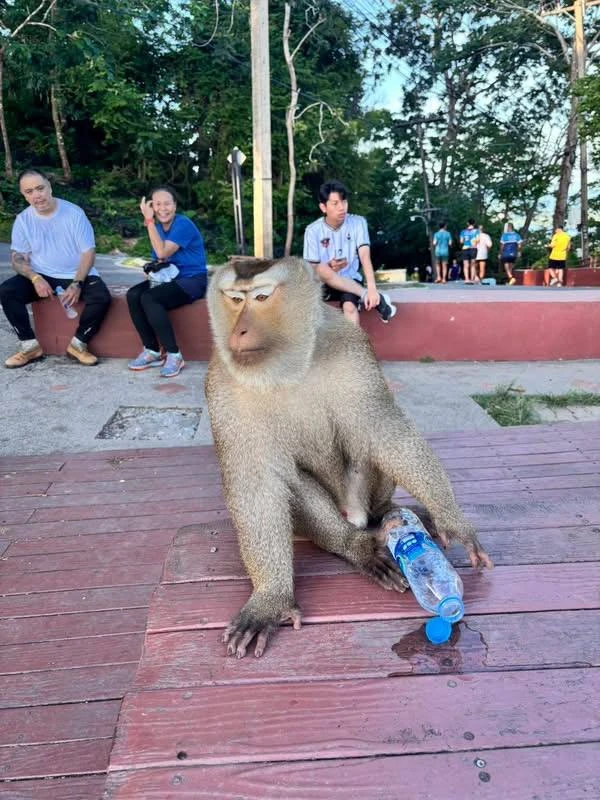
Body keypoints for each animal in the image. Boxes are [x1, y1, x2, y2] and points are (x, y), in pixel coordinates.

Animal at [205, 256, 493, 659]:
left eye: (261, 297)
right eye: (234, 299)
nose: (239, 331)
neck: (285, 369)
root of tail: (354, 515)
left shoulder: (352, 349)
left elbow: (385, 434)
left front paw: (452, 520)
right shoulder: (222, 386)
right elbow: (256, 485)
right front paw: (270, 598)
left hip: (362, 497)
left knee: (365, 445)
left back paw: (387, 514)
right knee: (294, 483)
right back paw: (353, 546)